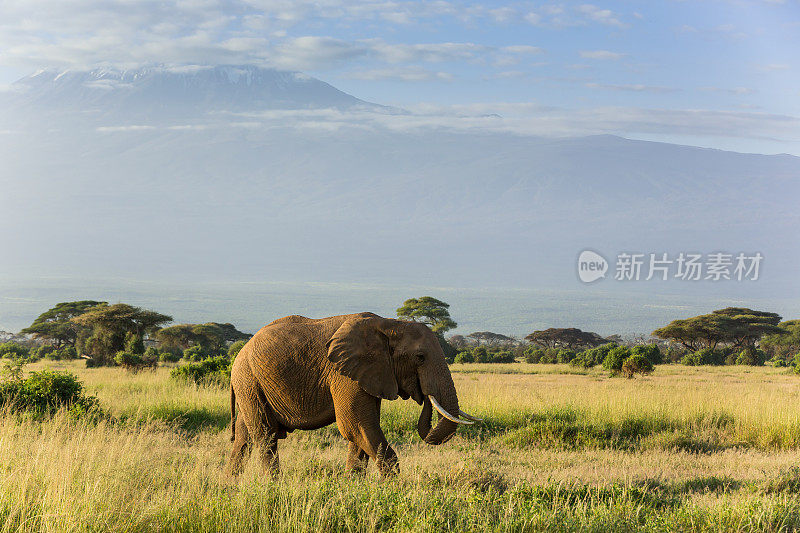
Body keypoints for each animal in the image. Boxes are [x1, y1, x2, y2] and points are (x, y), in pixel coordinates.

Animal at [225, 312, 478, 474]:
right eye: (420, 357)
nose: (423, 394)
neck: (390, 324)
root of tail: (241, 352)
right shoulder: (344, 374)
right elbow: (356, 426)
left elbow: (360, 433)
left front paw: (352, 489)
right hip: (249, 380)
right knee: (265, 435)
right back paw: (273, 487)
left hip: (250, 384)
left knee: (244, 438)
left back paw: (230, 486)